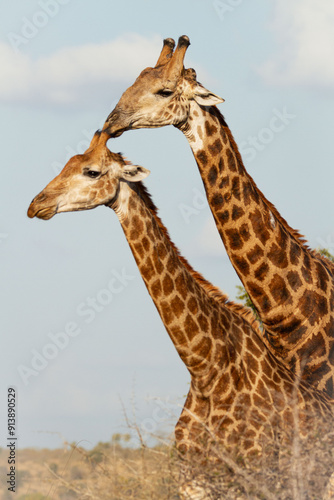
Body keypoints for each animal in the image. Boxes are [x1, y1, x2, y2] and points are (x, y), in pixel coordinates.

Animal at [26, 131, 334, 498]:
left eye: (91, 171)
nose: (36, 204)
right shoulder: (192, 482)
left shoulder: (255, 481)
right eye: (66, 164)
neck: (205, 366)